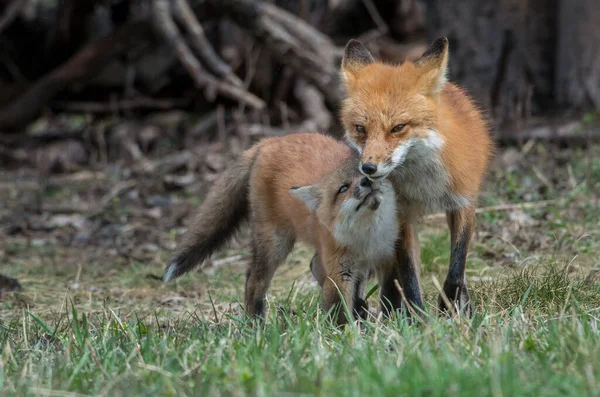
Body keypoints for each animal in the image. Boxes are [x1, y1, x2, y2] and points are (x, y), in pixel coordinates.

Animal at [164, 131, 398, 324]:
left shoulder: (380, 260)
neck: (366, 237)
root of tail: (270, 140)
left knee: (314, 265)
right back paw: (255, 324)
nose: (366, 182)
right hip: (275, 243)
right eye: (343, 188)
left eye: (365, 175)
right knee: (253, 280)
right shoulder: (340, 270)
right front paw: (344, 335)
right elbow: (339, 307)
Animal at [340, 37, 494, 316]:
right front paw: (419, 318)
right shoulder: (402, 215)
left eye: (398, 128)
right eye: (360, 129)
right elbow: (409, 274)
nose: (368, 168)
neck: (426, 185)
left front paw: (450, 304)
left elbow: (457, 264)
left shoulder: (464, 202)